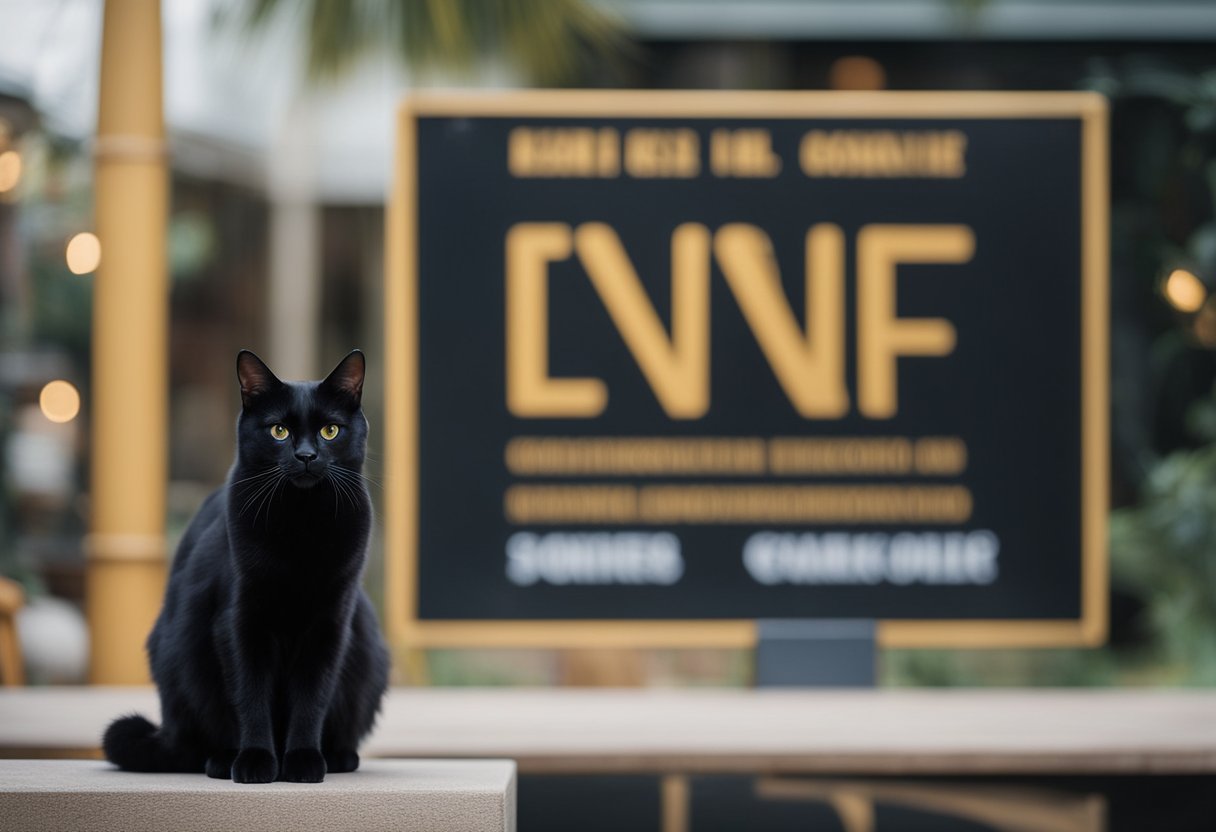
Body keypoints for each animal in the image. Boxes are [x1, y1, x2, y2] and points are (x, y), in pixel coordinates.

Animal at [106, 347, 389, 783]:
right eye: (278, 431)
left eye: (330, 431)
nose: (306, 456)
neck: (301, 524)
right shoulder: (240, 622)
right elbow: (250, 696)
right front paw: (256, 761)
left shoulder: (330, 626)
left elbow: (312, 699)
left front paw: (303, 760)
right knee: (200, 740)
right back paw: (223, 759)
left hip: (368, 649)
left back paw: (338, 756)